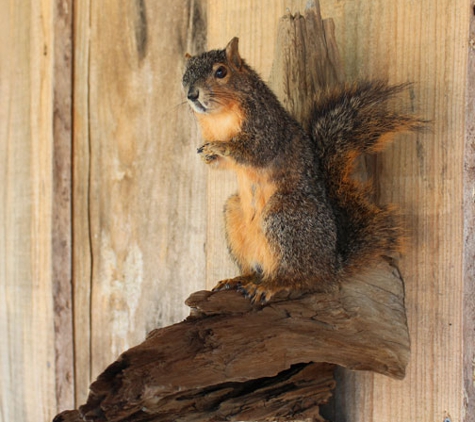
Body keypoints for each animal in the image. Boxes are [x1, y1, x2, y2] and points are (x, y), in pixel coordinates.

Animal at [182, 37, 424, 304]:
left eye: (221, 72)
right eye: (184, 76)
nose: (191, 95)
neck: (221, 116)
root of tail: (331, 266)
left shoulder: (267, 128)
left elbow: (254, 151)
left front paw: (220, 147)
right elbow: (222, 164)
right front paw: (206, 155)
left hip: (283, 216)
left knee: (303, 279)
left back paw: (275, 286)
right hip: (234, 213)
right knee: (257, 268)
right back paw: (242, 279)